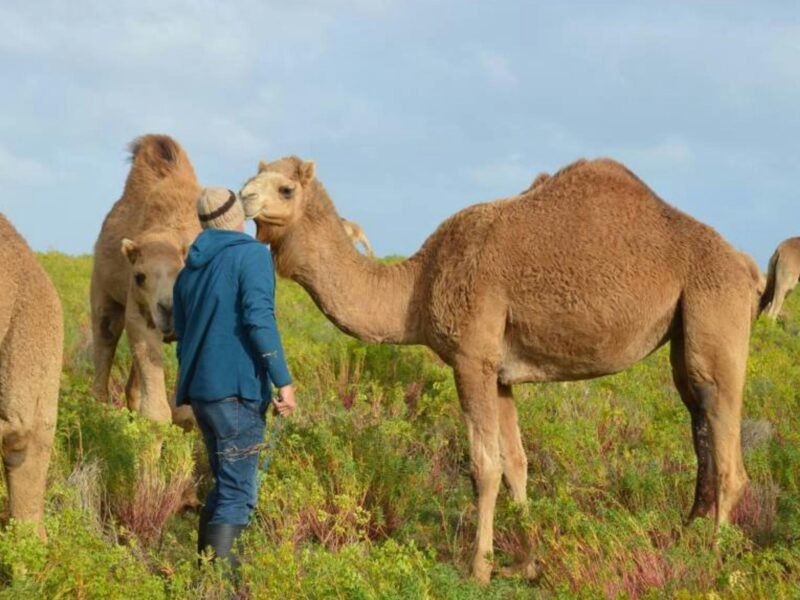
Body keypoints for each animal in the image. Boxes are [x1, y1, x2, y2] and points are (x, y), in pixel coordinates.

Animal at [92, 136, 198, 428]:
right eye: (139, 276)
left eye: (185, 273)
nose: (169, 310)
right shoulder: (138, 315)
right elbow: (157, 413)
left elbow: (186, 412)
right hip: (104, 294)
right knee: (105, 340)